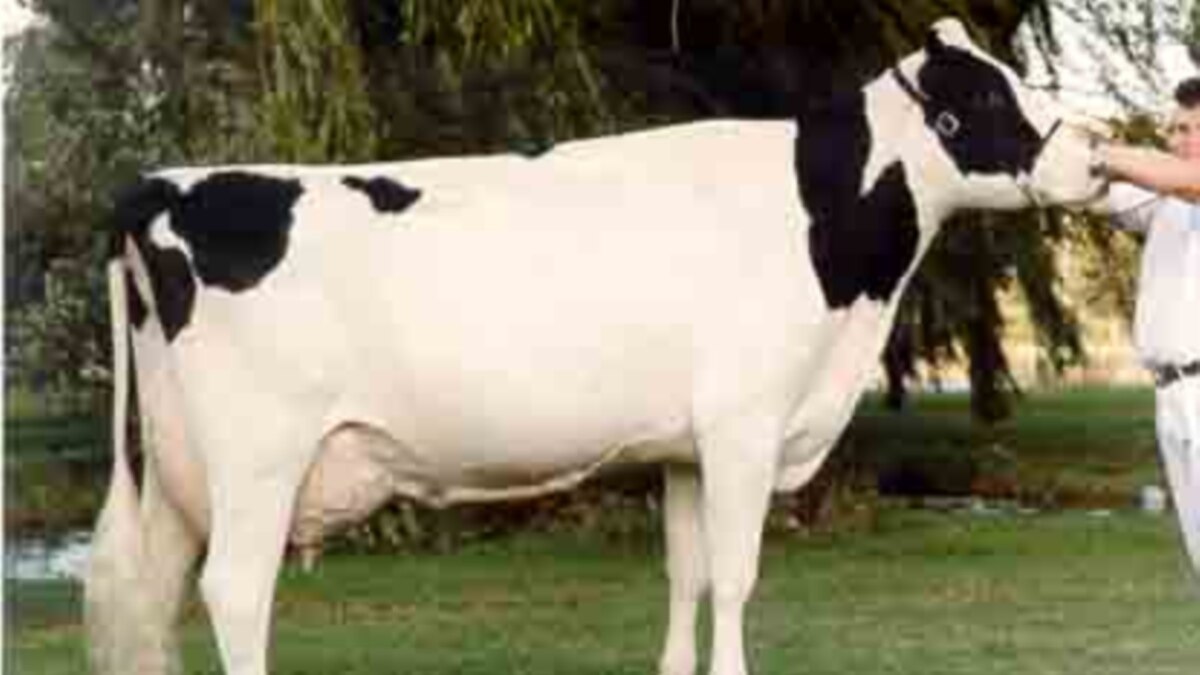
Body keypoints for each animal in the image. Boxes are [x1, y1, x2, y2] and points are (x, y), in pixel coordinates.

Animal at [86, 18, 1106, 675]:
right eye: (987, 94)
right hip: (258, 459)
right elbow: (737, 577)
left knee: (156, 596)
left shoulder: (687, 447)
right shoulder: (745, 424)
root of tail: (159, 185)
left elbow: (689, 574)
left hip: (176, 472)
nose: (1096, 157)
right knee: (234, 592)